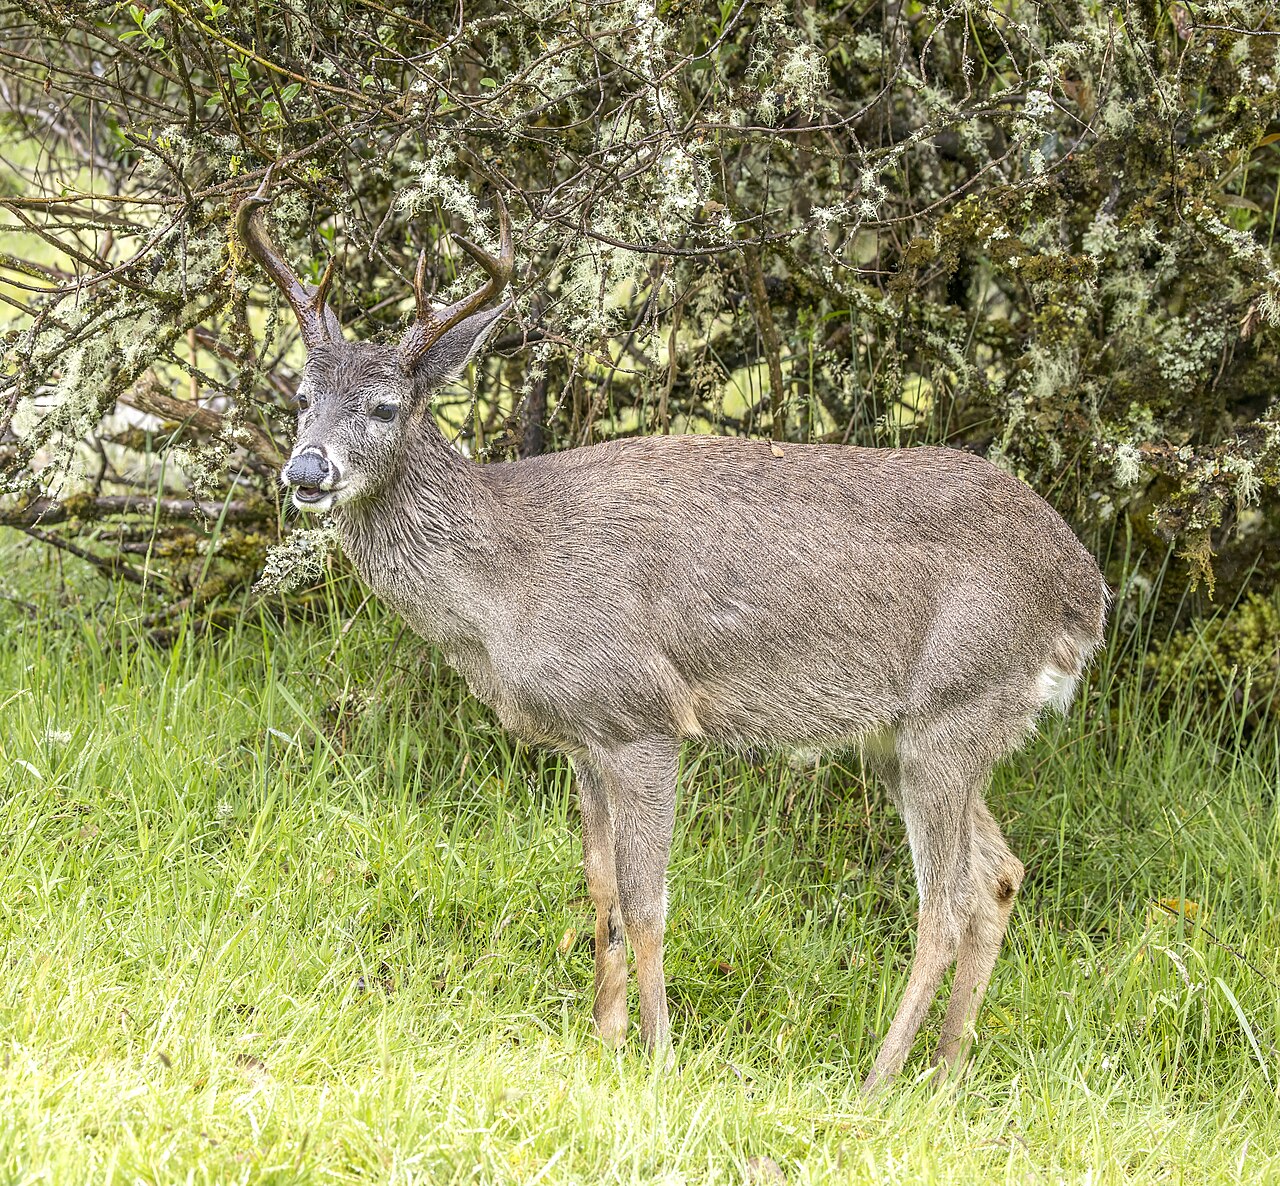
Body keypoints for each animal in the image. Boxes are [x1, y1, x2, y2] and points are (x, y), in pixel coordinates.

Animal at [236, 173, 1107, 1093]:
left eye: (383, 406)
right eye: (300, 397)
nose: (306, 470)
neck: (509, 578)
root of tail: (1082, 592)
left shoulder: (642, 716)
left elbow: (648, 902)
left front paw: (656, 1054)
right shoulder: (581, 740)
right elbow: (600, 892)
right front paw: (605, 1040)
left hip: (957, 703)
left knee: (947, 901)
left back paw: (877, 1083)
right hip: (908, 735)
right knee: (1000, 874)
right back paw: (944, 1073)